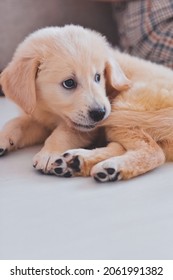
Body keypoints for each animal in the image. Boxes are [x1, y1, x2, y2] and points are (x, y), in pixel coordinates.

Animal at [0, 24, 129, 177]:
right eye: (69, 83)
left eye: (98, 77)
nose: (100, 113)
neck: (52, 113)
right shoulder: (38, 119)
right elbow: (17, 122)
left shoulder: (85, 129)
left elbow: (63, 132)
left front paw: (49, 154)